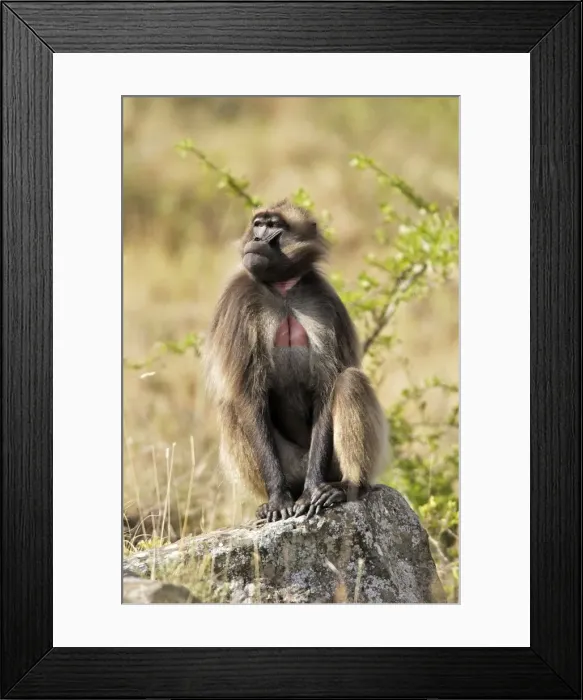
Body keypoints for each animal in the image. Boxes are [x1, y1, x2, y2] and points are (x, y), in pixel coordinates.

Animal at [205, 200, 388, 522]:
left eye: (274, 225)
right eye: (257, 224)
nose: (256, 240)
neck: (283, 289)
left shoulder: (324, 302)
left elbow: (328, 387)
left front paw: (315, 491)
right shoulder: (238, 303)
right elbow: (248, 395)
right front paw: (278, 498)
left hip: (330, 466)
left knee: (350, 381)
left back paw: (346, 486)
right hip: (289, 465)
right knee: (230, 406)